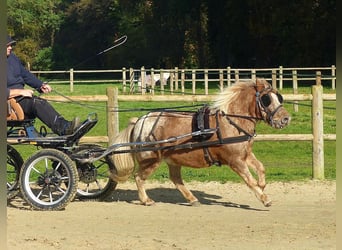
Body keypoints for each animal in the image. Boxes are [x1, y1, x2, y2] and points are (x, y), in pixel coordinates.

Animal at [108, 78, 290, 207]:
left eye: (278, 97)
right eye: (267, 99)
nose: (285, 119)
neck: (231, 123)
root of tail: (139, 122)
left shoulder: (245, 154)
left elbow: (261, 168)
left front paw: (262, 185)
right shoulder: (236, 161)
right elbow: (249, 180)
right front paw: (264, 198)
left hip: (173, 159)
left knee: (176, 179)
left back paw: (192, 199)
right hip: (151, 160)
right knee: (139, 177)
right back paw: (146, 200)